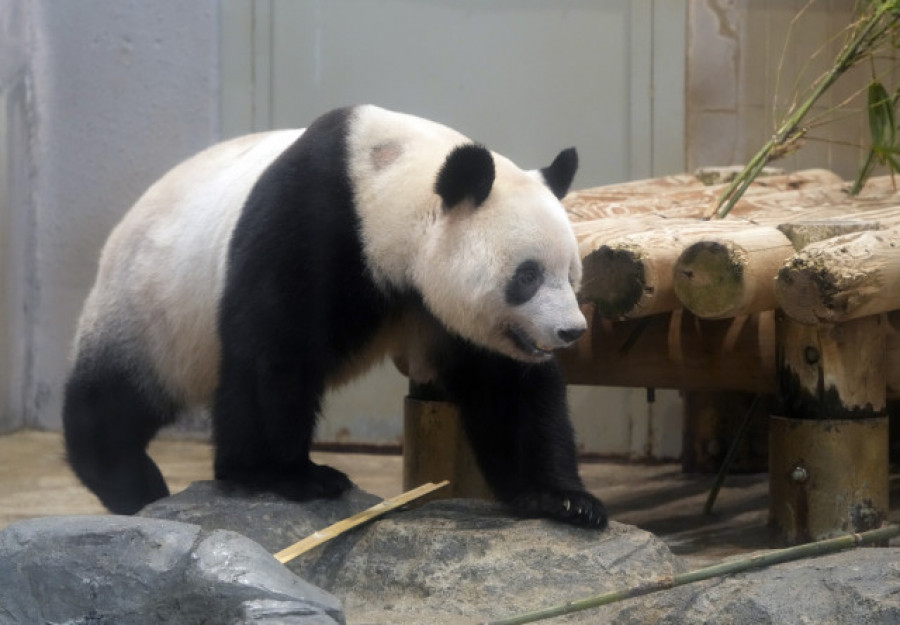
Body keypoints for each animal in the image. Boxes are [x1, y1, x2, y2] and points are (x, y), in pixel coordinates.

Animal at [63, 106, 608, 528]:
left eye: (572, 274)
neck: (385, 185)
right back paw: (129, 479)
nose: (570, 331)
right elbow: (272, 352)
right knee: (113, 399)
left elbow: (509, 390)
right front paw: (283, 475)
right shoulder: (313, 221)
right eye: (527, 275)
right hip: (148, 310)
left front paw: (564, 501)